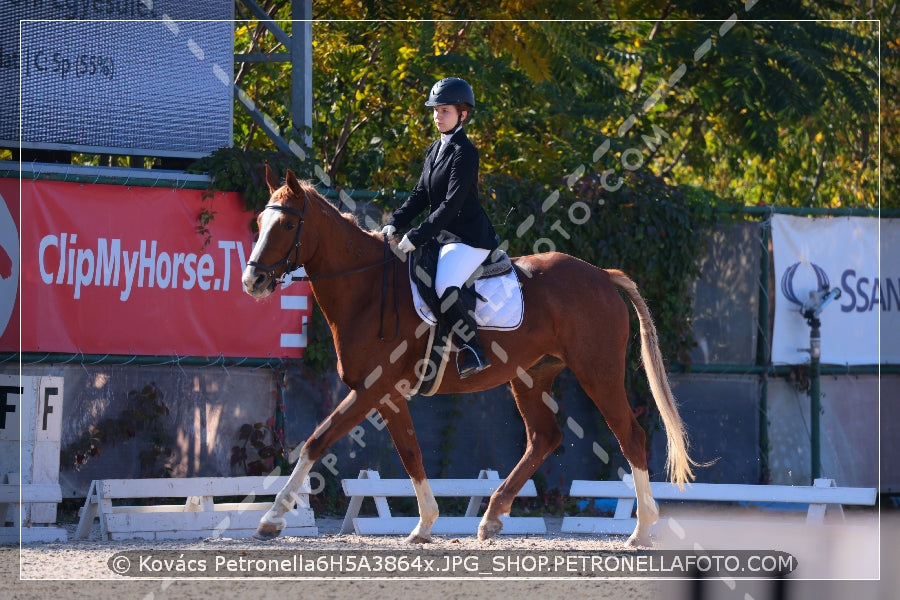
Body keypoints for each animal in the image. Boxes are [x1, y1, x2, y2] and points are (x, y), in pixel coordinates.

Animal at [243, 166, 700, 548]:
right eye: (259, 224)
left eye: (287, 224)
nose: (252, 281)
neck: (368, 289)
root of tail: (602, 275)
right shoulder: (386, 395)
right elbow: (408, 452)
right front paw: (424, 525)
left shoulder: (374, 389)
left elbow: (319, 441)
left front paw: (271, 519)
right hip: (530, 376)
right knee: (544, 437)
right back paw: (493, 518)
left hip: (597, 373)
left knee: (630, 435)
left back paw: (641, 530)